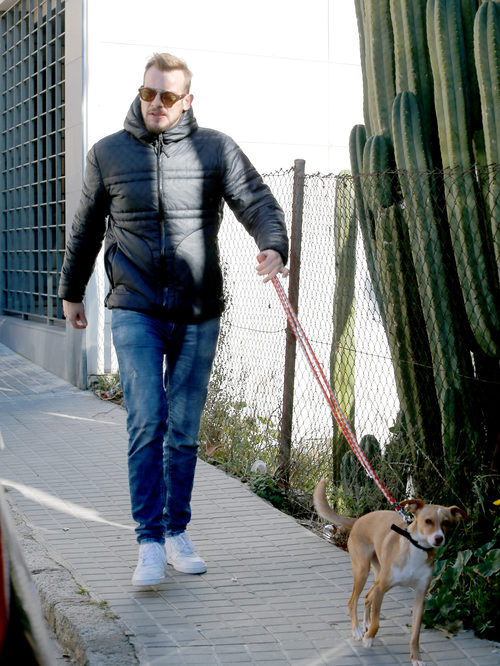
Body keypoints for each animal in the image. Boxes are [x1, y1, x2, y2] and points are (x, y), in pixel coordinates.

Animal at [314, 478, 466, 664]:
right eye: (428, 521)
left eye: (446, 523)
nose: (439, 539)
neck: (416, 550)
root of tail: (359, 519)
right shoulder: (382, 588)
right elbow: (377, 622)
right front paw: (369, 638)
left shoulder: (420, 598)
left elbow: (415, 634)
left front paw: (416, 657)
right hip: (363, 571)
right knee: (353, 601)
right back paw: (357, 629)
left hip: (378, 573)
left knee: (367, 596)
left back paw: (365, 624)